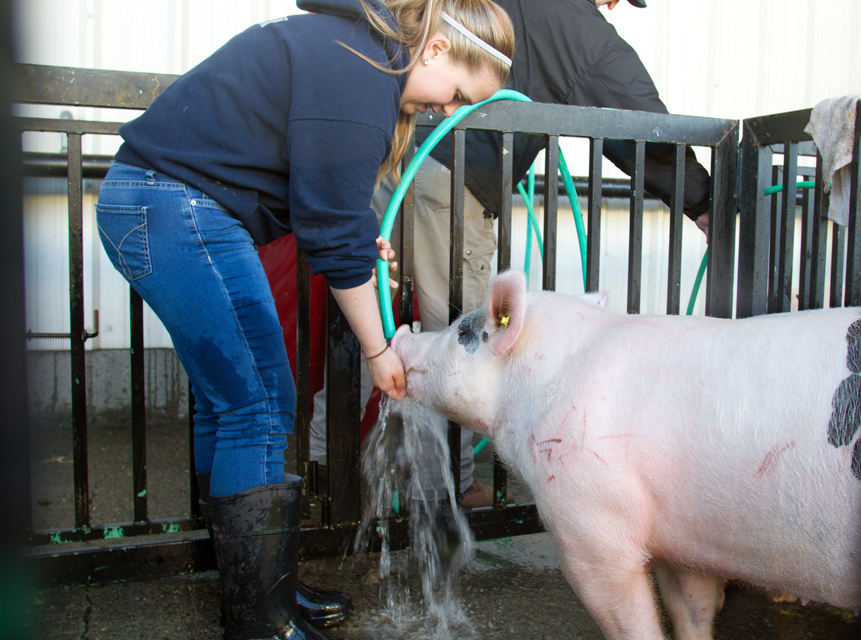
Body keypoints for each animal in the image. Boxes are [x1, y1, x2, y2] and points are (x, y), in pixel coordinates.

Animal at [390, 269, 861, 640]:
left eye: (462, 332)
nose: (400, 335)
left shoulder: (589, 519)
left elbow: (630, 616)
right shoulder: (682, 536)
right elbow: (691, 609)